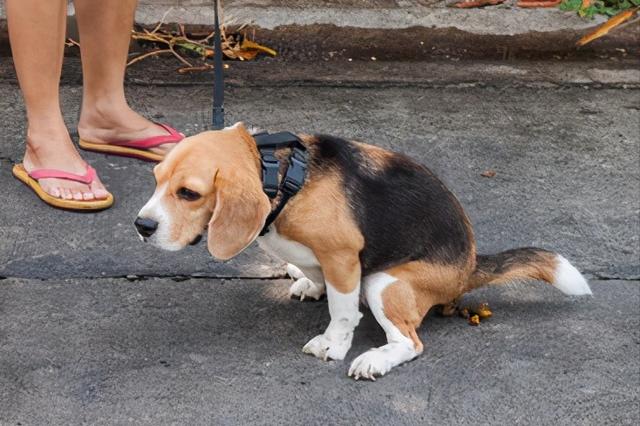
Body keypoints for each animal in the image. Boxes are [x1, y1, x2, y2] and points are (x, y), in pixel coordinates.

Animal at [138, 122, 592, 380]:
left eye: (189, 193)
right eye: (156, 179)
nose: (142, 226)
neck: (282, 177)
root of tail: (470, 266)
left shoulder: (342, 255)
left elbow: (341, 312)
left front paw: (333, 345)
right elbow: (318, 277)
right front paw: (310, 282)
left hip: (384, 282)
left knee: (410, 342)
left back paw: (374, 360)